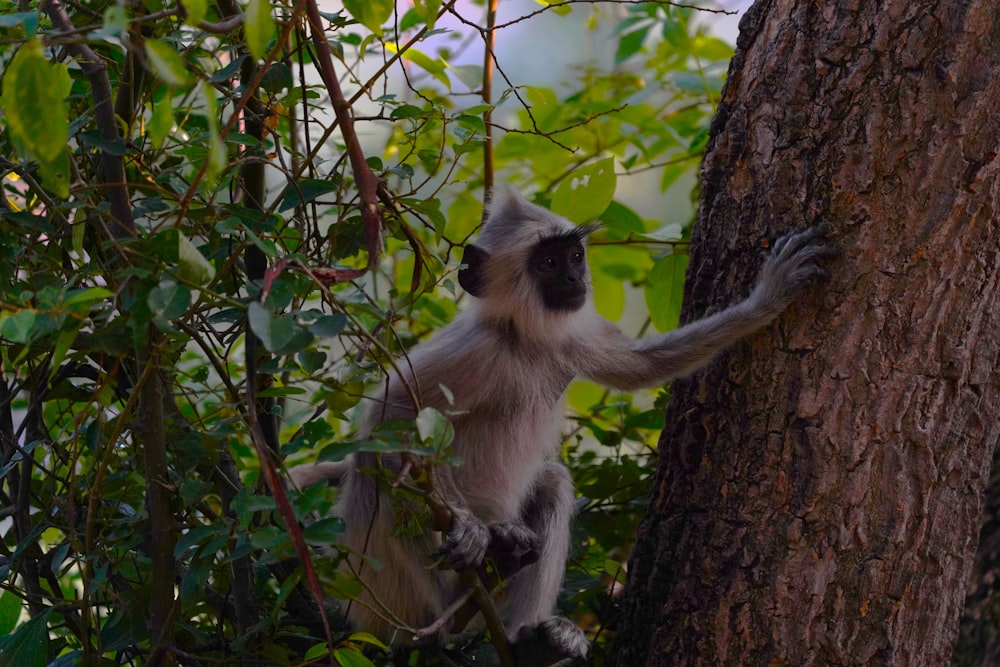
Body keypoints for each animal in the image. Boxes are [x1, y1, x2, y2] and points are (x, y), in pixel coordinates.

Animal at [292, 189, 836, 667]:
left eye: (574, 255)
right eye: (548, 264)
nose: (576, 275)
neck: (524, 342)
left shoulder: (570, 339)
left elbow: (640, 367)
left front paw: (768, 298)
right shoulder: (474, 351)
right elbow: (388, 418)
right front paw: (467, 526)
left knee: (552, 482)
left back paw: (523, 636)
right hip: (383, 592)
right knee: (379, 469)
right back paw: (450, 612)